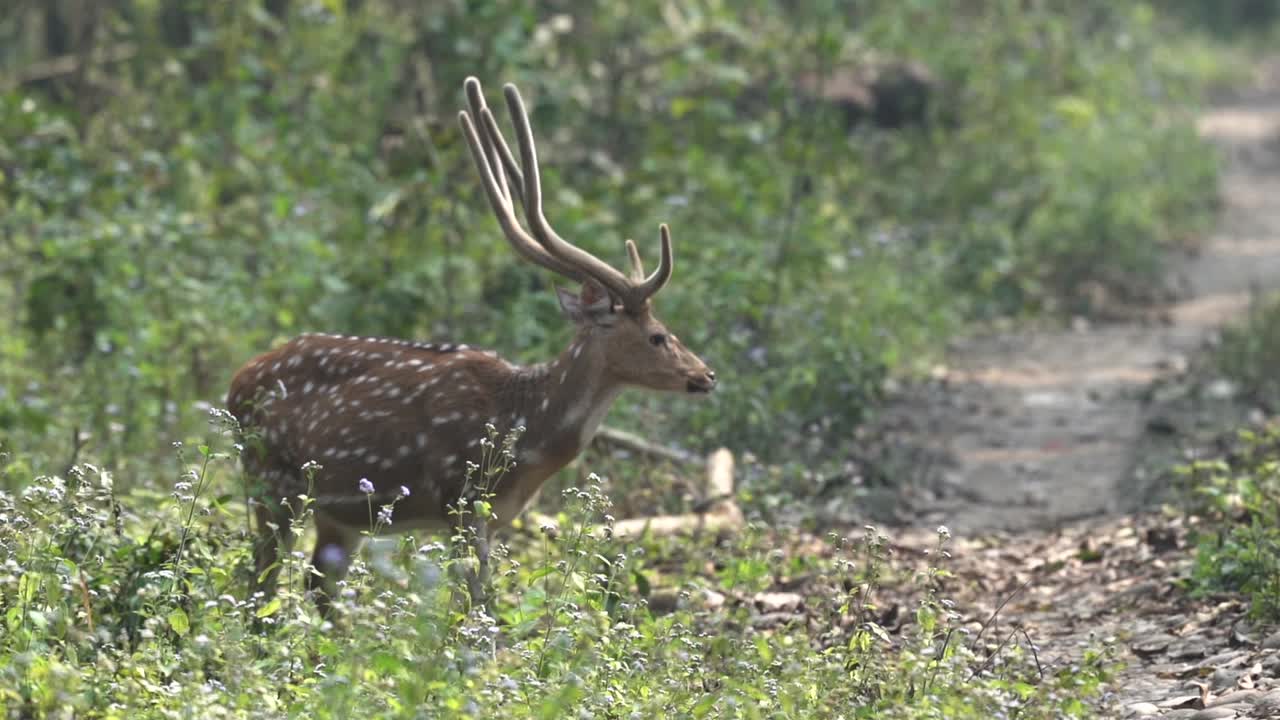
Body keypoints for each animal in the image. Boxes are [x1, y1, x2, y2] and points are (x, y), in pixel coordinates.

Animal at [226, 77, 717, 613]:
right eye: (657, 336)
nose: (706, 374)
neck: (527, 433)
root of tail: (235, 382)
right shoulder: (459, 497)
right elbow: (478, 604)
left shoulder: (498, 515)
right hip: (269, 480)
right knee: (261, 584)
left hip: (336, 514)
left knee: (315, 589)